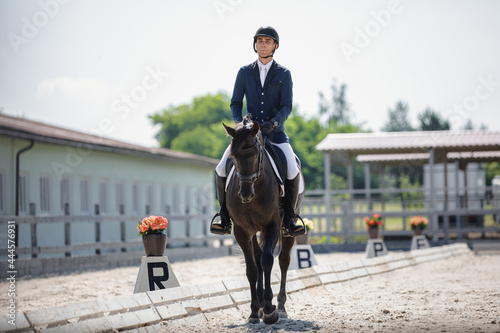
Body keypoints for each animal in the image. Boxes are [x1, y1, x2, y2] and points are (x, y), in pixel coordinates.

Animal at [222, 114, 296, 324]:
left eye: (255, 154)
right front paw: (256, 310)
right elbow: (252, 269)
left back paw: (281, 307)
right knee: (257, 256)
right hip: (253, 230)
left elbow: (267, 260)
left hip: (287, 230)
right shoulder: (241, 230)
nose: (245, 193)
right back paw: (262, 305)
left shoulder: (272, 224)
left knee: (283, 261)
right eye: (233, 157)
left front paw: (270, 309)